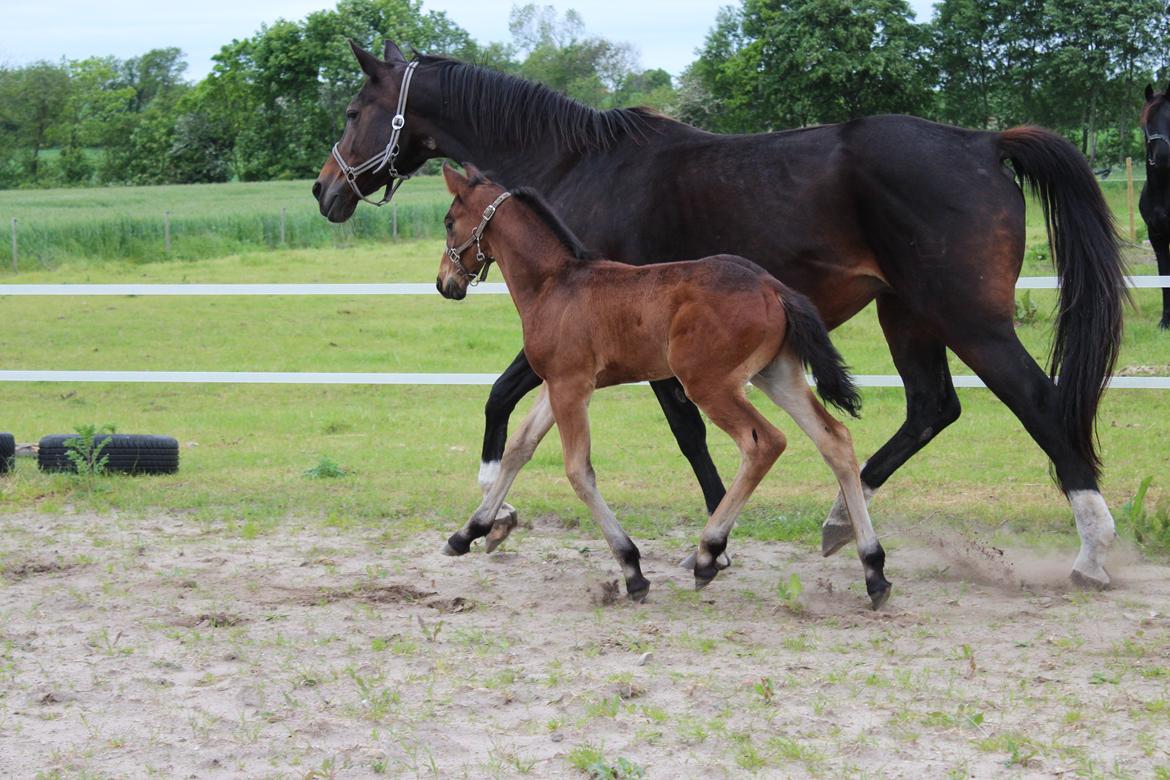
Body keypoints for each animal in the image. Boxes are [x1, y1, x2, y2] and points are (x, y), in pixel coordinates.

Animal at [437, 161, 884, 608]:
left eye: (448, 222)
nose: (445, 283)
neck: (555, 283)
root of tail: (771, 286)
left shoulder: (570, 386)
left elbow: (578, 471)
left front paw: (632, 568)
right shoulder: (556, 385)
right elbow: (519, 448)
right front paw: (468, 532)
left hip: (709, 384)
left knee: (764, 443)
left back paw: (708, 553)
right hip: (777, 374)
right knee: (835, 439)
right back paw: (873, 569)